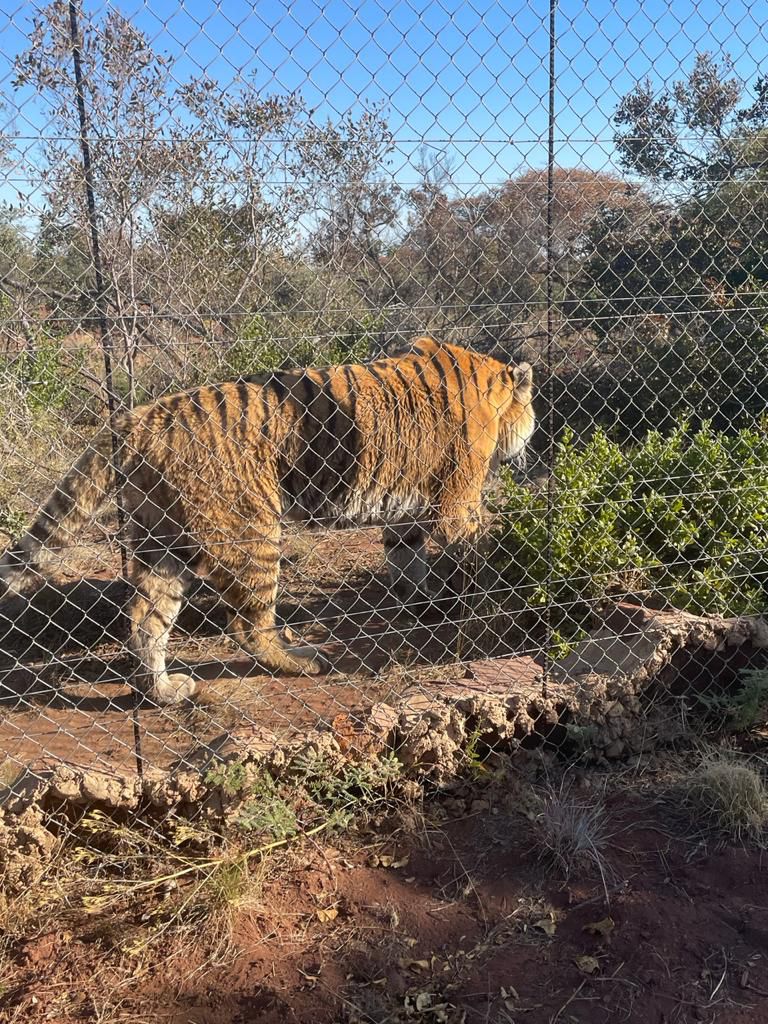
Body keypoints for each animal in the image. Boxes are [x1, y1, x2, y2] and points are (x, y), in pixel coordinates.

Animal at [0, 335, 536, 704]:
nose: (527, 444)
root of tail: (139, 418)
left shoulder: (409, 506)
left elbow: (407, 557)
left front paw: (424, 605)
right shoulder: (457, 501)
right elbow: (470, 552)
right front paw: (484, 605)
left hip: (162, 542)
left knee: (146, 621)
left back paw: (165, 692)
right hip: (253, 532)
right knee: (246, 624)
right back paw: (302, 662)